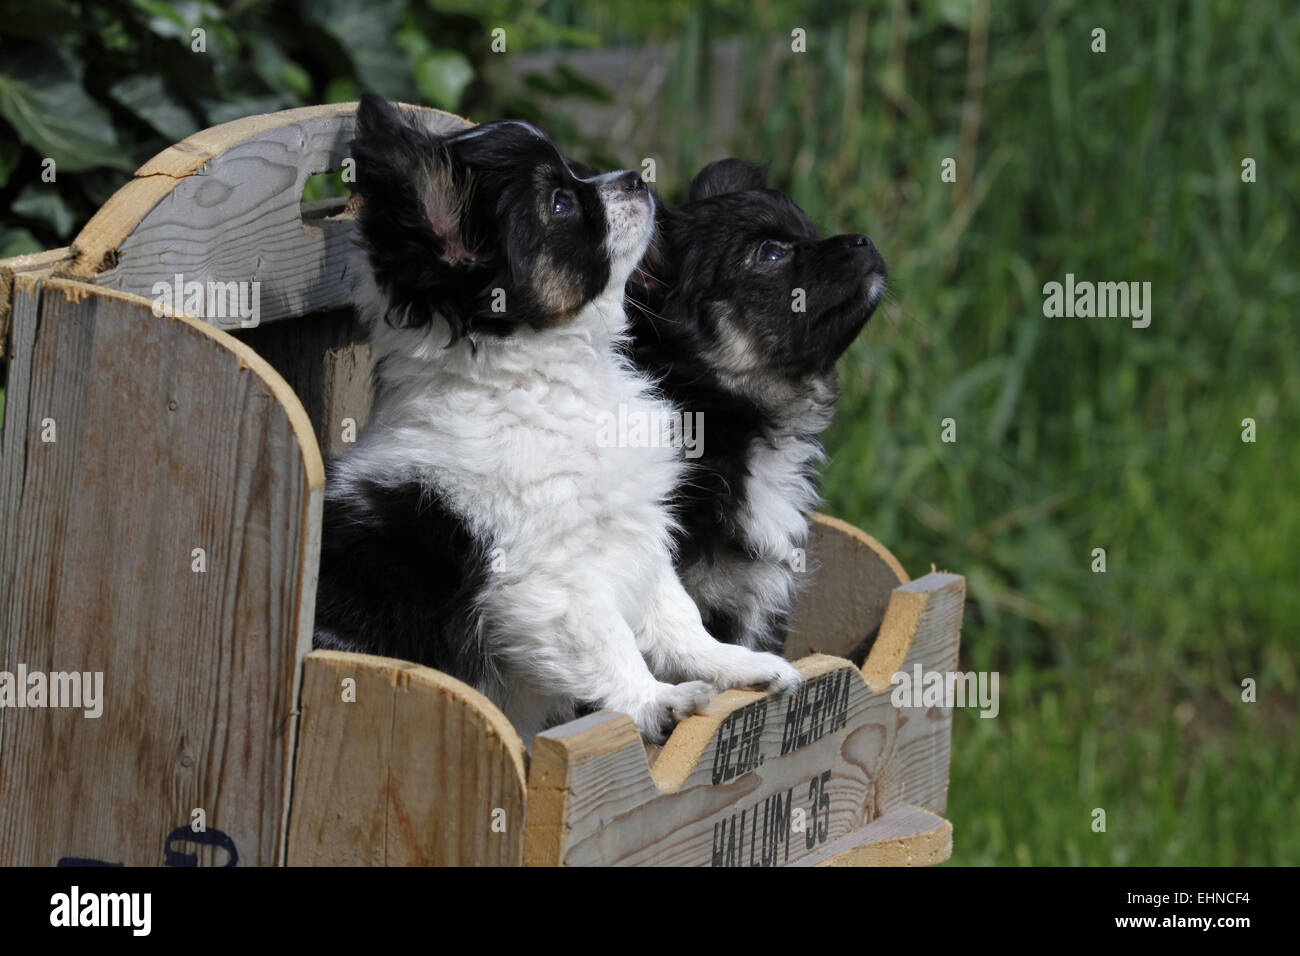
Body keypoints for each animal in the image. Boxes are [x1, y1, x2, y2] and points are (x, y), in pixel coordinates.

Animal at [314, 97, 800, 743]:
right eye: (562, 203)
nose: (636, 178)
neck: (552, 379)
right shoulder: (550, 575)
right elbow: (609, 640)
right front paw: (655, 700)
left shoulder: (634, 533)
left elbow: (675, 612)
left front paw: (732, 664)